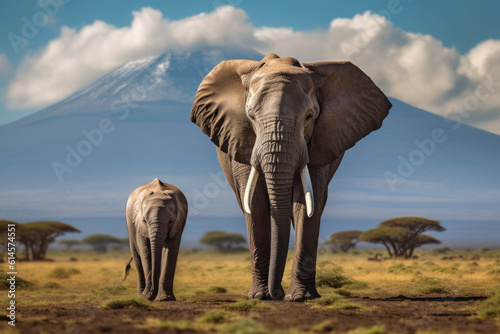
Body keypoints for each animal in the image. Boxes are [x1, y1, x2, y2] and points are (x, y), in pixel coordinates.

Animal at [191, 53, 390, 302]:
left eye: (309, 117)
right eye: (251, 116)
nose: (276, 294)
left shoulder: (320, 142)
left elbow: (304, 203)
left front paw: (300, 297)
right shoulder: (239, 139)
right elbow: (256, 204)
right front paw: (260, 296)